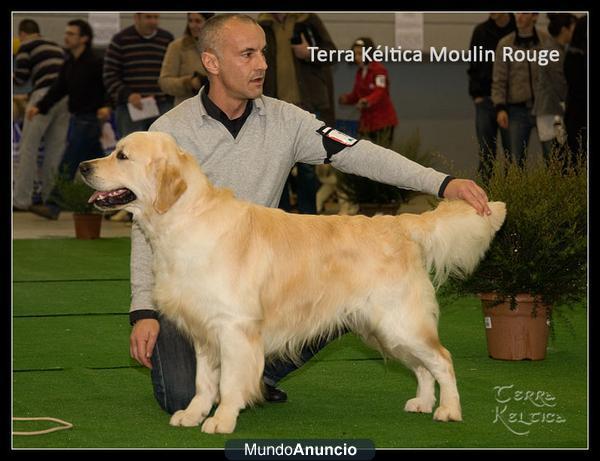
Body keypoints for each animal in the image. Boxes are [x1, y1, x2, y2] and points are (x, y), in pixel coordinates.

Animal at [77, 131, 504, 434]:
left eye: (122, 156)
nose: (82, 166)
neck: (184, 220)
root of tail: (398, 223)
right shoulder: (204, 330)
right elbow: (202, 382)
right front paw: (194, 413)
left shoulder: (234, 328)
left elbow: (229, 382)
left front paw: (222, 419)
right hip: (382, 327)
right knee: (421, 366)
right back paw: (422, 402)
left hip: (400, 320)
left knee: (442, 359)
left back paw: (448, 409)